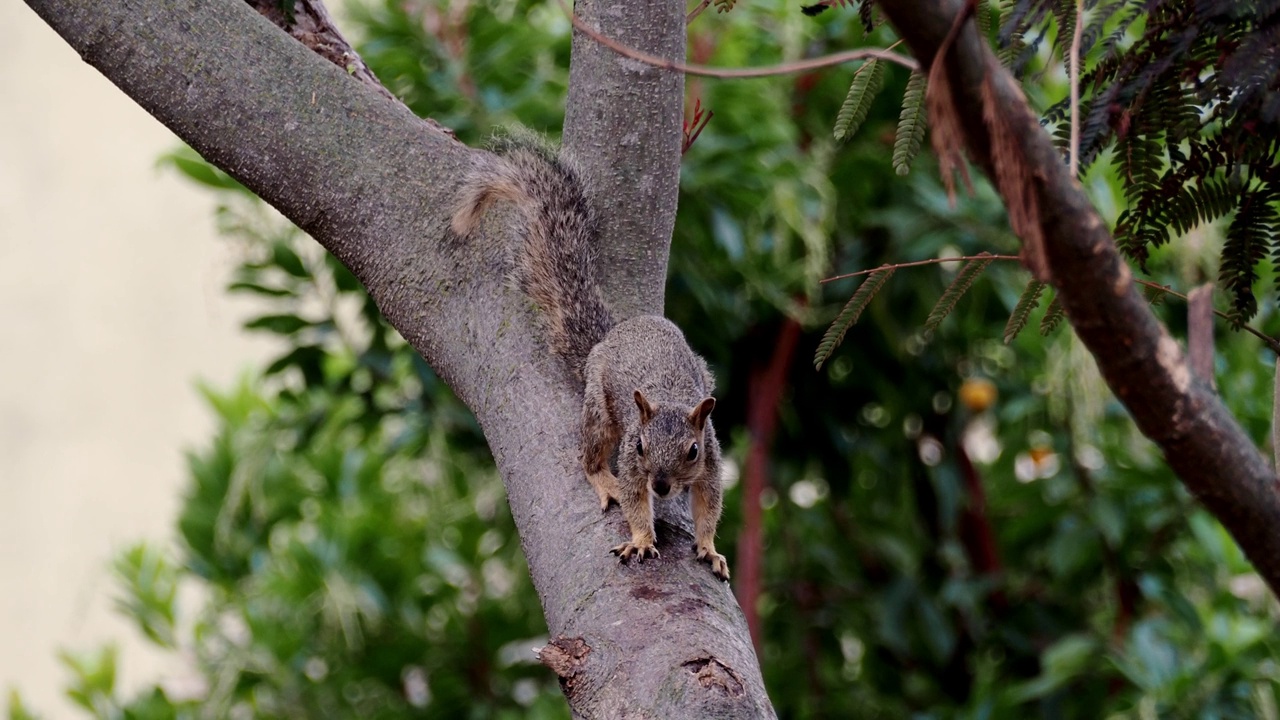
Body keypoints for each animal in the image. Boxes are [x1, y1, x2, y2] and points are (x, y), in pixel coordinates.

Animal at [453, 134, 732, 579]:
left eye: (691, 450)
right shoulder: (633, 461)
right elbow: (635, 501)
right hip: (599, 408)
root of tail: (610, 336)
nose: (661, 485)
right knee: (590, 456)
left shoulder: (711, 459)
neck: (669, 398)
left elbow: (709, 505)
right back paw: (604, 478)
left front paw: (709, 547)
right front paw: (641, 538)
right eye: (640, 446)